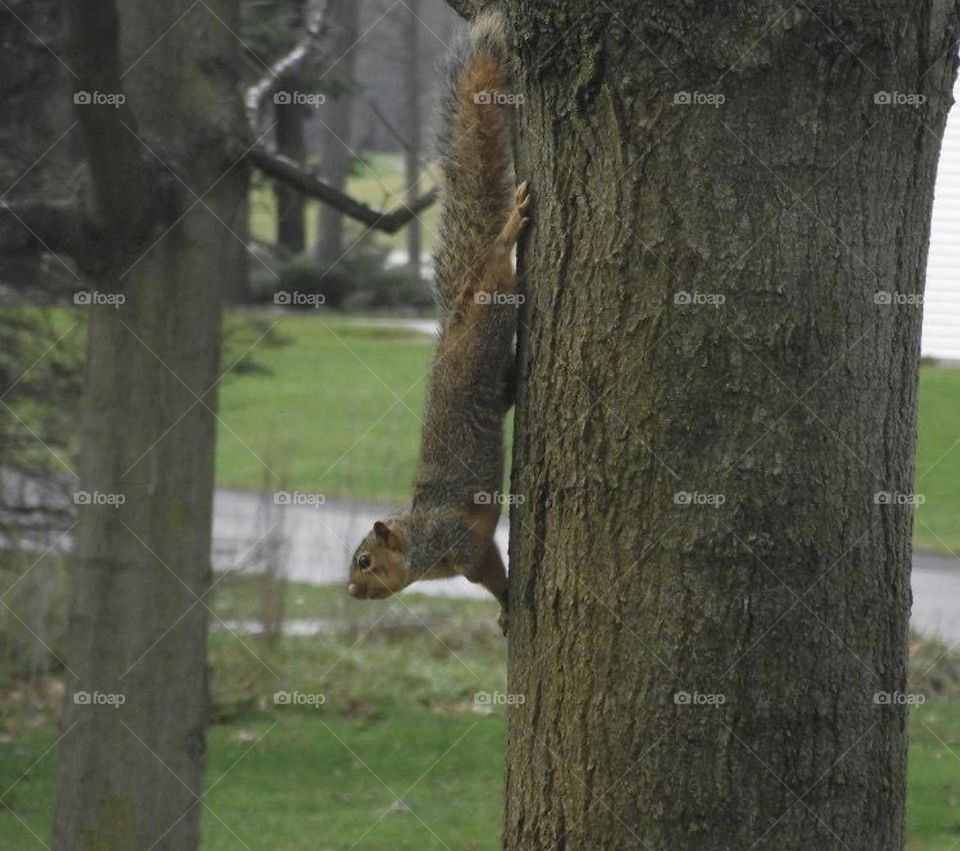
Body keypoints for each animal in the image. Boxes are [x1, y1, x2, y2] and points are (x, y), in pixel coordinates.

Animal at [347, 10, 529, 634]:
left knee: (498, 260)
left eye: (364, 560)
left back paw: (510, 228)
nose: (349, 591)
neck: (422, 537)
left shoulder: (465, 548)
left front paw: (506, 608)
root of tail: (455, 318)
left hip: (490, 320)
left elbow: (491, 574)